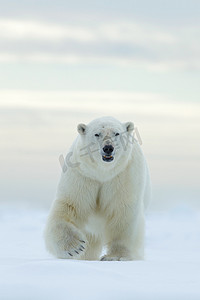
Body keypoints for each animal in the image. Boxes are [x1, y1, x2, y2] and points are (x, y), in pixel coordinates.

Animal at [43, 116, 150, 262]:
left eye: (117, 133)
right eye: (97, 134)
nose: (108, 148)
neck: (102, 173)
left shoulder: (124, 175)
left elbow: (122, 212)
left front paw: (115, 256)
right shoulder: (83, 175)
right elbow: (70, 205)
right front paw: (75, 247)